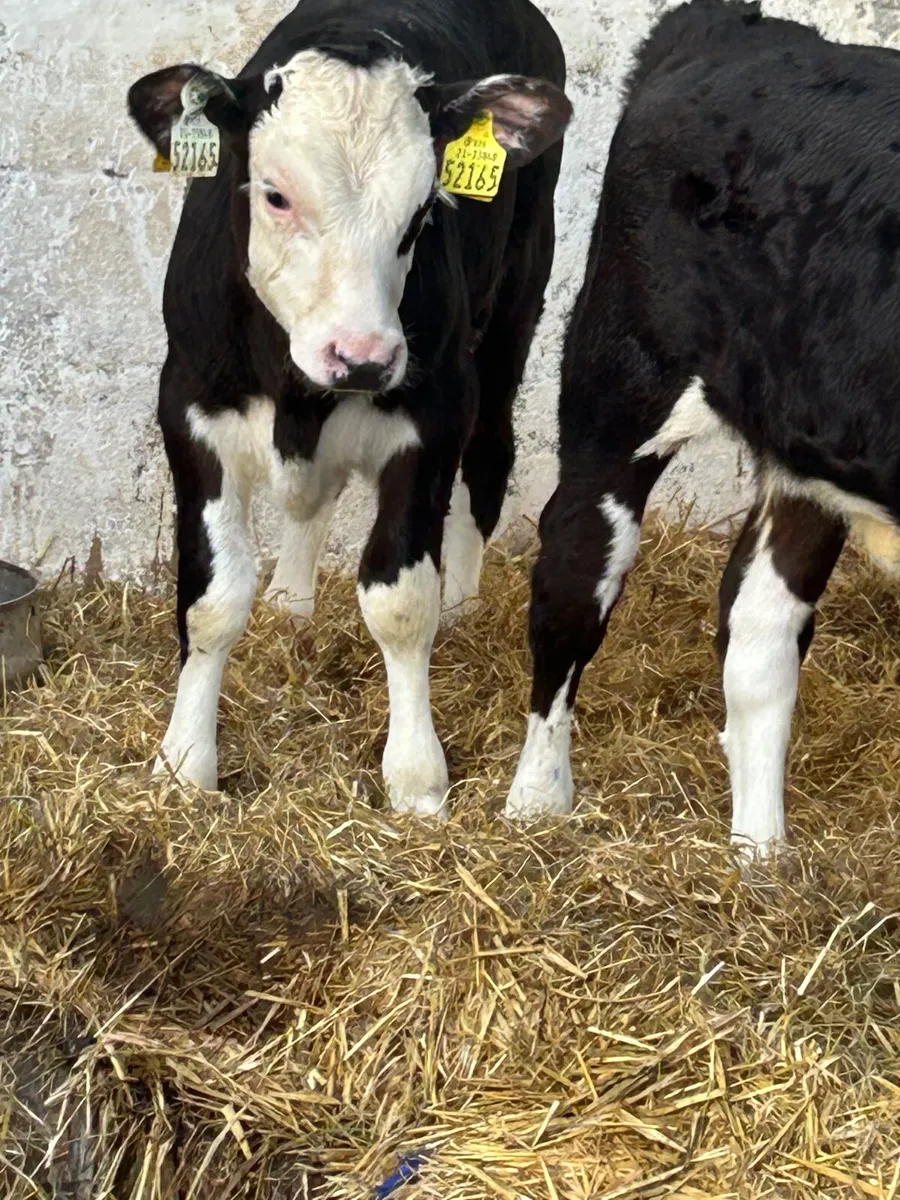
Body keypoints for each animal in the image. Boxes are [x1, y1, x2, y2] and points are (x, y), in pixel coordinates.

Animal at [126, 0, 571, 816]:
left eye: (424, 211)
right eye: (275, 194)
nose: (362, 356)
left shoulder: (434, 415)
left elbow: (399, 600)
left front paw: (417, 777)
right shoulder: (189, 405)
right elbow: (211, 595)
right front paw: (185, 761)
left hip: (513, 313)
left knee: (491, 457)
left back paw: (462, 603)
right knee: (312, 497)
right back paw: (291, 602)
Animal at [505, 0, 900, 855]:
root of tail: (730, 27)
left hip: (802, 439)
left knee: (758, 631)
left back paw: (761, 859)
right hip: (622, 380)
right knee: (573, 575)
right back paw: (536, 803)